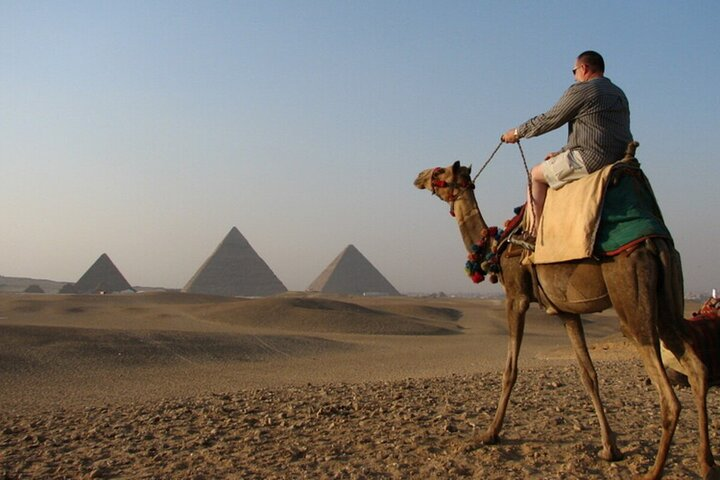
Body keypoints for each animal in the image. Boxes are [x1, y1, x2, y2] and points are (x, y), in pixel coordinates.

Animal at [413, 151, 717, 479]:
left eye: (440, 172)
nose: (419, 176)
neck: (496, 247)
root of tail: (655, 242)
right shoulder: (566, 311)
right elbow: (588, 374)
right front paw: (610, 448)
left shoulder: (516, 297)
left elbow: (510, 370)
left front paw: (489, 433)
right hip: (669, 296)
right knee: (696, 368)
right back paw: (706, 463)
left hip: (631, 299)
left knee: (669, 396)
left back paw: (653, 472)